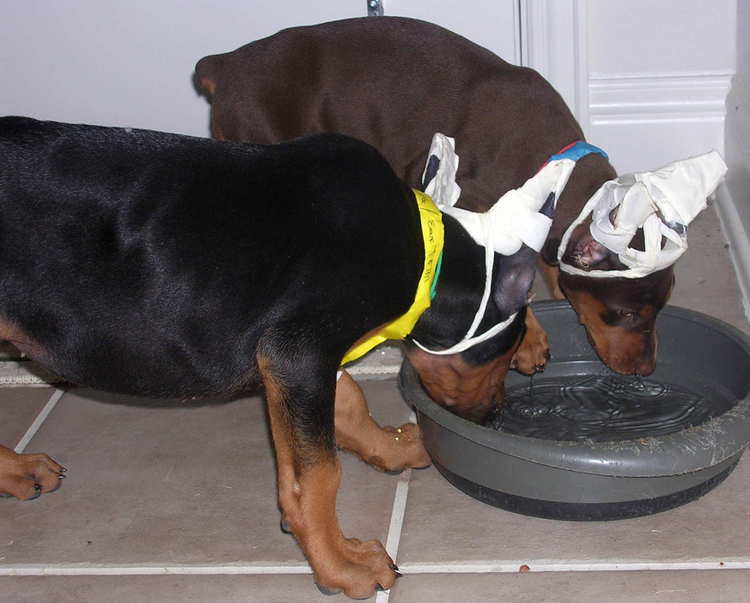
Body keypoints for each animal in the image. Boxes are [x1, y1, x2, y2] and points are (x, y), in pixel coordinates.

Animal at [0, 118, 536, 600]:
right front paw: (341, 565)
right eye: (505, 352)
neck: (425, 255)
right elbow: (317, 476)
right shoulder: (298, 350)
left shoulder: (295, 358)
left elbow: (348, 400)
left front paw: (390, 446)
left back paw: (17, 470)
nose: (493, 417)